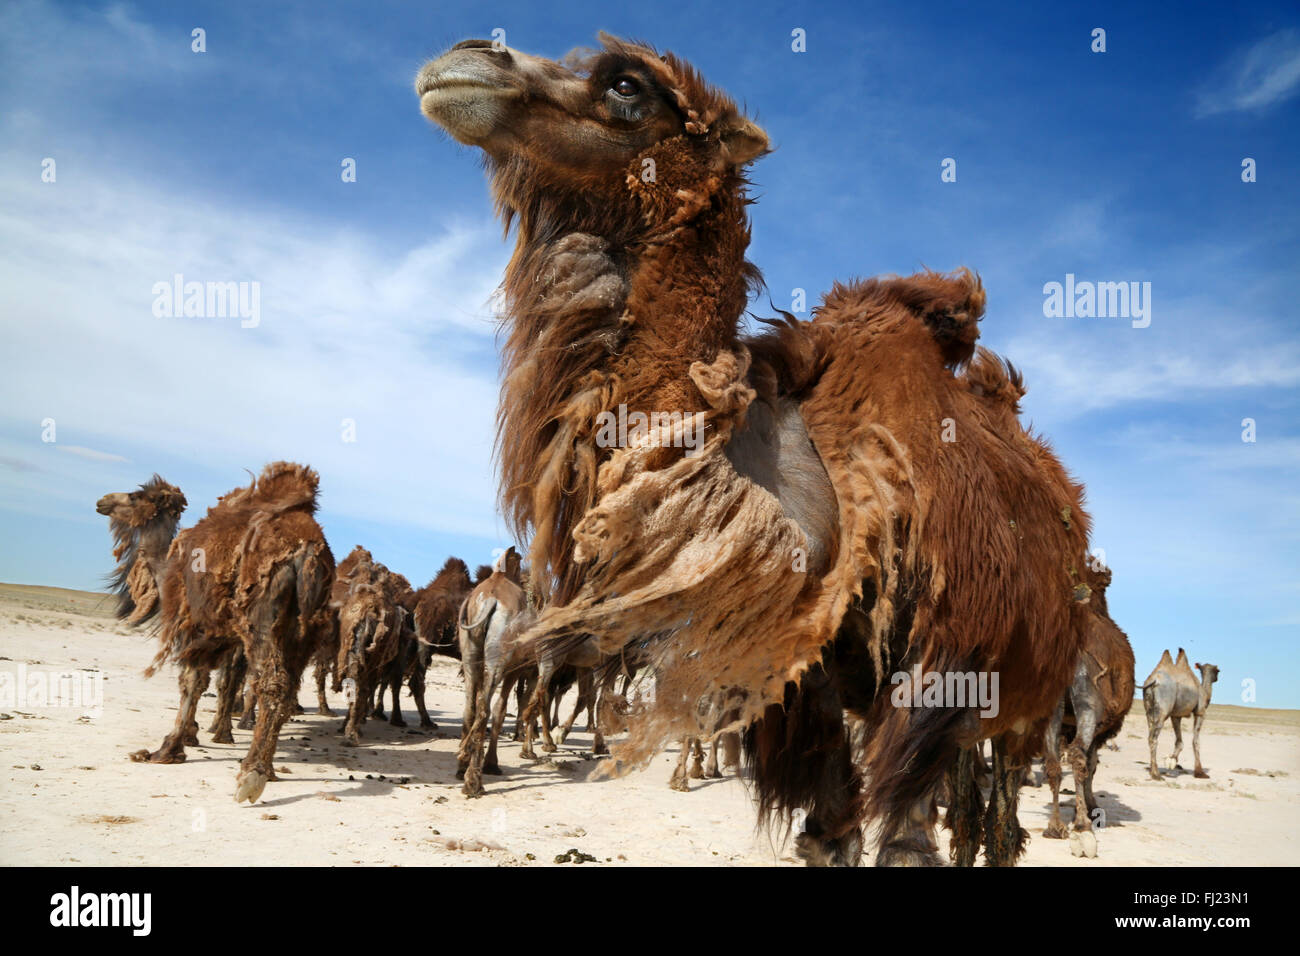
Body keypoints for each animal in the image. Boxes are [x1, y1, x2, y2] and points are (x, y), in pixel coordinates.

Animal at [128, 460, 332, 806]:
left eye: (137, 496)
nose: (102, 503)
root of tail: (308, 552)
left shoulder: (193, 625)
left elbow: (191, 682)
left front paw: (169, 749)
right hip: (305, 631)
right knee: (287, 685)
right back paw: (267, 768)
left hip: (260, 615)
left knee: (272, 683)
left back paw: (251, 775)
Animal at [421, 35, 1092, 868]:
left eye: (626, 85)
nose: (465, 59)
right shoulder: (802, 687)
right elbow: (828, 834)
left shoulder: (934, 681)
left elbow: (904, 841)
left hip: (1020, 697)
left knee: (996, 810)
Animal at [1040, 561, 1133, 853]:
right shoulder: (1103, 724)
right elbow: (1092, 763)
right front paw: (1091, 809)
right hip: (1088, 701)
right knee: (1078, 755)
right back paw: (1082, 828)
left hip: (1053, 707)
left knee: (1052, 760)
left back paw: (1054, 827)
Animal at [1138, 647, 1216, 780]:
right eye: (1218, 671)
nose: (1216, 677)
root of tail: (1153, 681)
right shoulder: (1200, 712)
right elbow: (1195, 741)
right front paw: (1200, 772)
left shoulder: (1176, 715)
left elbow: (1179, 742)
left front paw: (1172, 761)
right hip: (1163, 710)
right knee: (1153, 738)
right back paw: (1156, 774)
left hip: (1149, 710)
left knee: (1150, 734)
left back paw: (1153, 769)